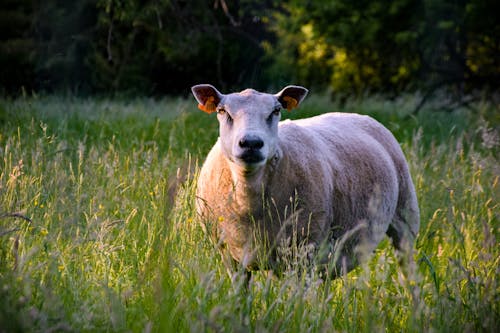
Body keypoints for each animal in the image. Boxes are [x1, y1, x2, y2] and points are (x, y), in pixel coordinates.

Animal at [191, 84, 418, 276]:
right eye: (222, 111)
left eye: (276, 111)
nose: (251, 143)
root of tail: (358, 115)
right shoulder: (231, 260)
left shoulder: (304, 254)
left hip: (404, 216)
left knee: (408, 270)